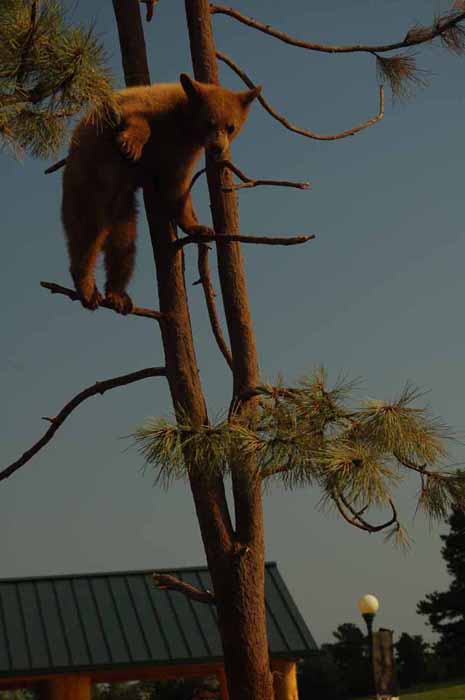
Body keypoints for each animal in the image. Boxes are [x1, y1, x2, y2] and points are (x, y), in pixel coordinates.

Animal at [61, 73, 261, 314]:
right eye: (209, 122)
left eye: (231, 127)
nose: (216, 148)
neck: (183, 126)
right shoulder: (150, 105)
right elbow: (134, 115)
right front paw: (131, 144)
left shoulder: (183, 154)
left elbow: (177, 188)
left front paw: (198, 227)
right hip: (88, 178)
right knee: (88, 232)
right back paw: (86, 286)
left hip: (123, 206)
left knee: (124, 243)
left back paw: (117, 294)